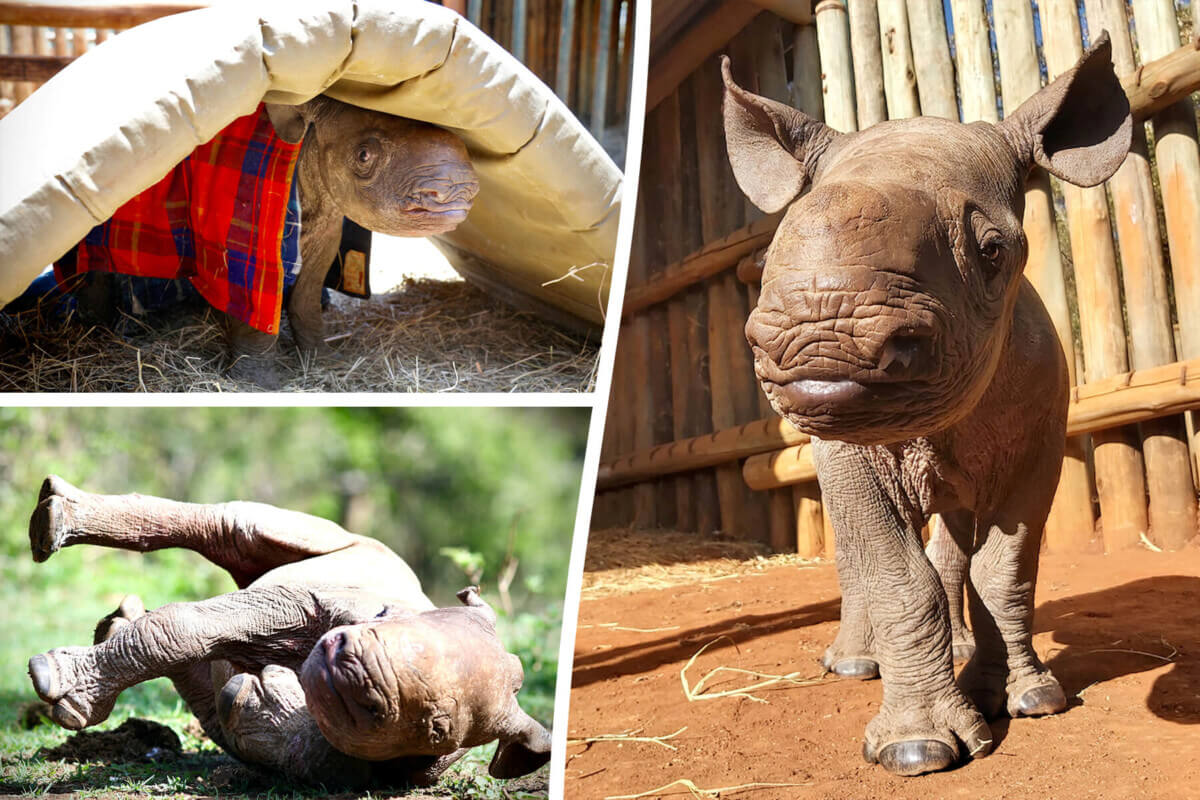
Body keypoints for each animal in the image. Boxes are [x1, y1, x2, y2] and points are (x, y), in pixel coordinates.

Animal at [25, 476, 550, 787]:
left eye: (437, 726)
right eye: (381, 617)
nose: (347, 659)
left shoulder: (387, 767)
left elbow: (284, 740)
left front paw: (262, 697)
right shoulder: (317, 598)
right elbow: (191, 626)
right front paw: (53, 678)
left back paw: (115, 621)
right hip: (354, 544)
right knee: (240, 527)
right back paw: (51, 523)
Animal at [722, 34, 1130, 776]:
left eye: (993, 251)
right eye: (767, 258)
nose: (820, 342)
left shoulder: (1041, 438)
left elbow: (1006, 569)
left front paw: (1030, 701)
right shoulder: (847, 444)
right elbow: (893, 573)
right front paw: (916, 750)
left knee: (955, 536)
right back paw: (855, 665)